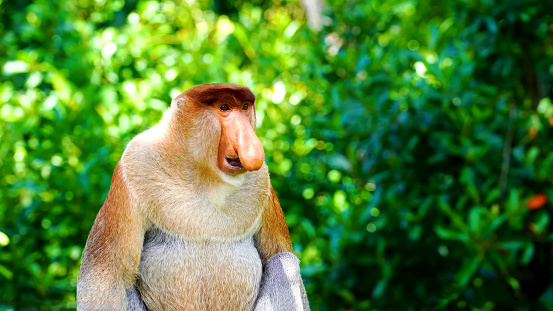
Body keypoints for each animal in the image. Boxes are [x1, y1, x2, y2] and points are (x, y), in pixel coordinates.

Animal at [77, 83, 308, 311]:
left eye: (244, 107)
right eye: (224, 107)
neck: (204, 178)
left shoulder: (262, 181)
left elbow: (278, 254)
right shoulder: (133, 164)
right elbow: (106, 277)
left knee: (284, 262)